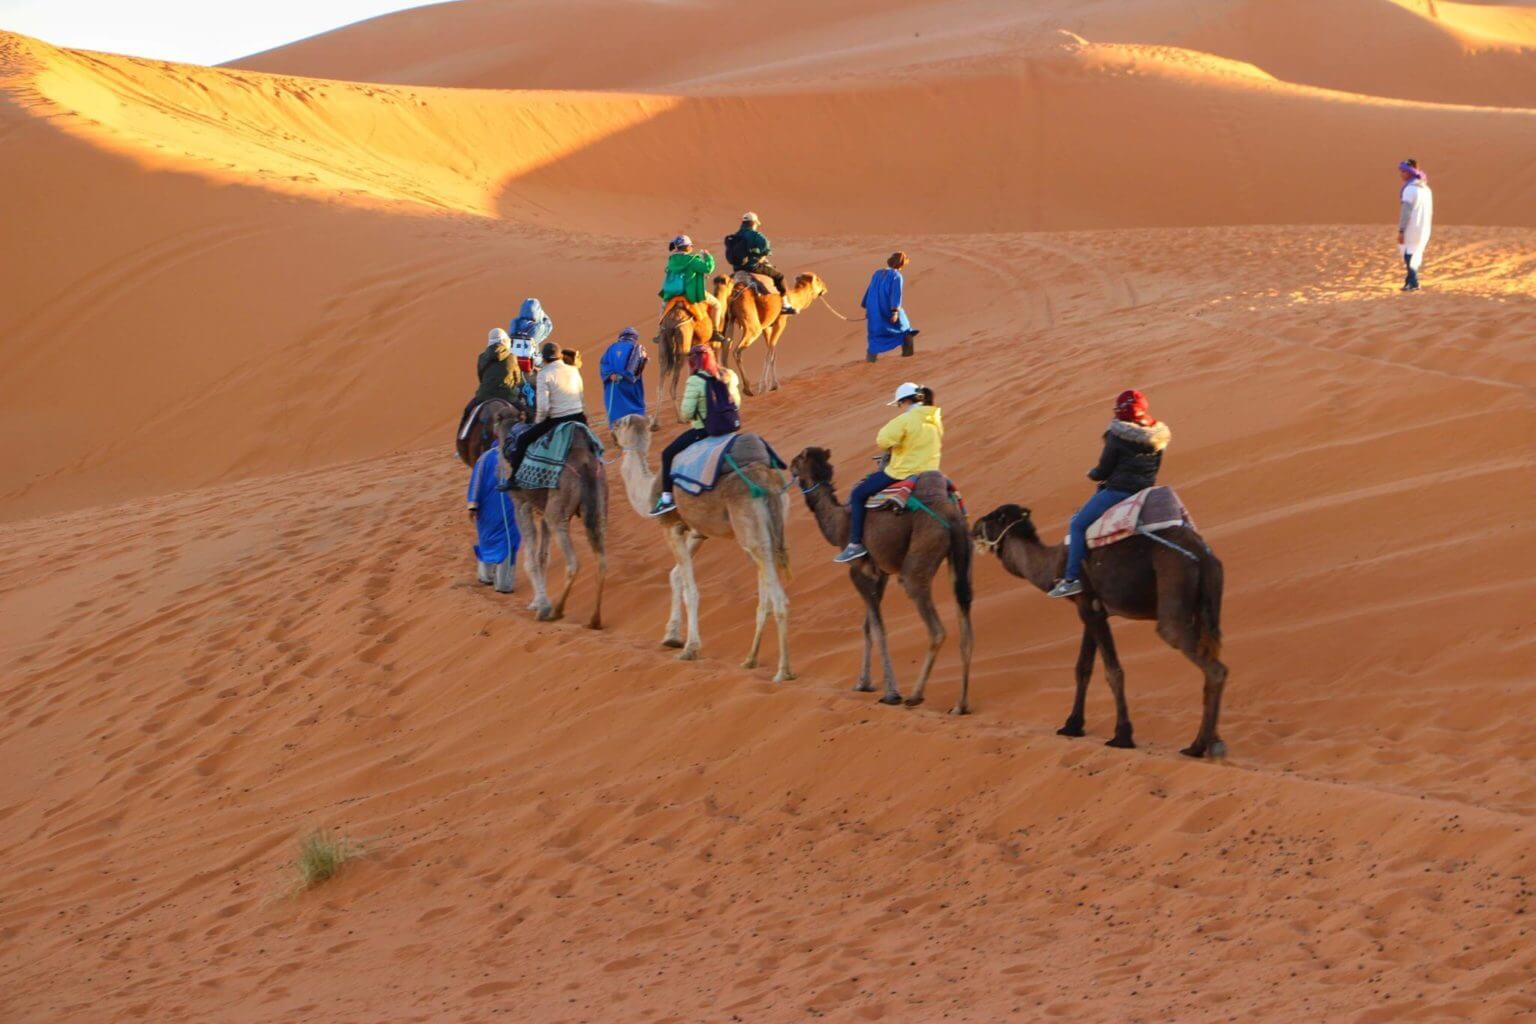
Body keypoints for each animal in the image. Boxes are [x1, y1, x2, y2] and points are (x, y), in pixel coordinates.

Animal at [494, 414, 608, 626]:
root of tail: (586, 464)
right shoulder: (542, 508)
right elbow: (542, 556)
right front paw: (539, 602)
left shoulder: (521, 504)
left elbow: (531, 558)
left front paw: (541, 604)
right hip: (599, 508)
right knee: (602, 559)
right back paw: (594, 620)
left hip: (558, 514)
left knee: (573, 563)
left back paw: (555, 611)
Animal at [608, 417, 792, 681]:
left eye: (620, 424)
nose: (611, 432)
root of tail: (765, 479)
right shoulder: (698, 531)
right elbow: (675, 575)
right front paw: (671, 636)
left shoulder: (671, 526)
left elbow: (690, 591)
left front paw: (690, 649)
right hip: (771, 528)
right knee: (766, 583)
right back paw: (750, 659)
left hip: (751, 528)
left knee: (777, 595)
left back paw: (783, 671)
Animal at [721, 270, 829, 399]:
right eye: (818, 280)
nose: (825, 288)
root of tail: (734, 294)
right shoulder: (780, 322)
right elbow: (770, 353)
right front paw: (764, 387)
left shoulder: (767, 327)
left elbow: (772, 352)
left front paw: (774, 385)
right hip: (753, 326)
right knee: (736, 351)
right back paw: (747, 389)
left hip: (730, 321)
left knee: (725, 351)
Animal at [792, 448, 970, 712]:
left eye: (797, 461)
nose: (786, 466)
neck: (838, 522)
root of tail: (951, 515)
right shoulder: (880, 574)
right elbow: (867, 626)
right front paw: (862, 683)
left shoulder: (857, 571)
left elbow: (878, 629)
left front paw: (891, 693)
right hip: (959, 558)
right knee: (965, 619)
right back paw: (960, 705)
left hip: (918, 560)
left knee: (936, 628)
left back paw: (915, 695)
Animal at [970, 500, 1234, 758]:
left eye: (993, 517)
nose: (973, 526)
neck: (1053, 564)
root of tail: (1202, 556)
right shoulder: (1092, 609)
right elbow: (1083, 668)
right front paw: (1072, 725)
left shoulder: (1089, 606)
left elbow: (1113, 671)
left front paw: (1122, 736)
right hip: (1207, 605)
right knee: (1211, 655)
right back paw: (1210, 742)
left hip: (1174, 593)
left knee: (1210, 665)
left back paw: (1199, 747)